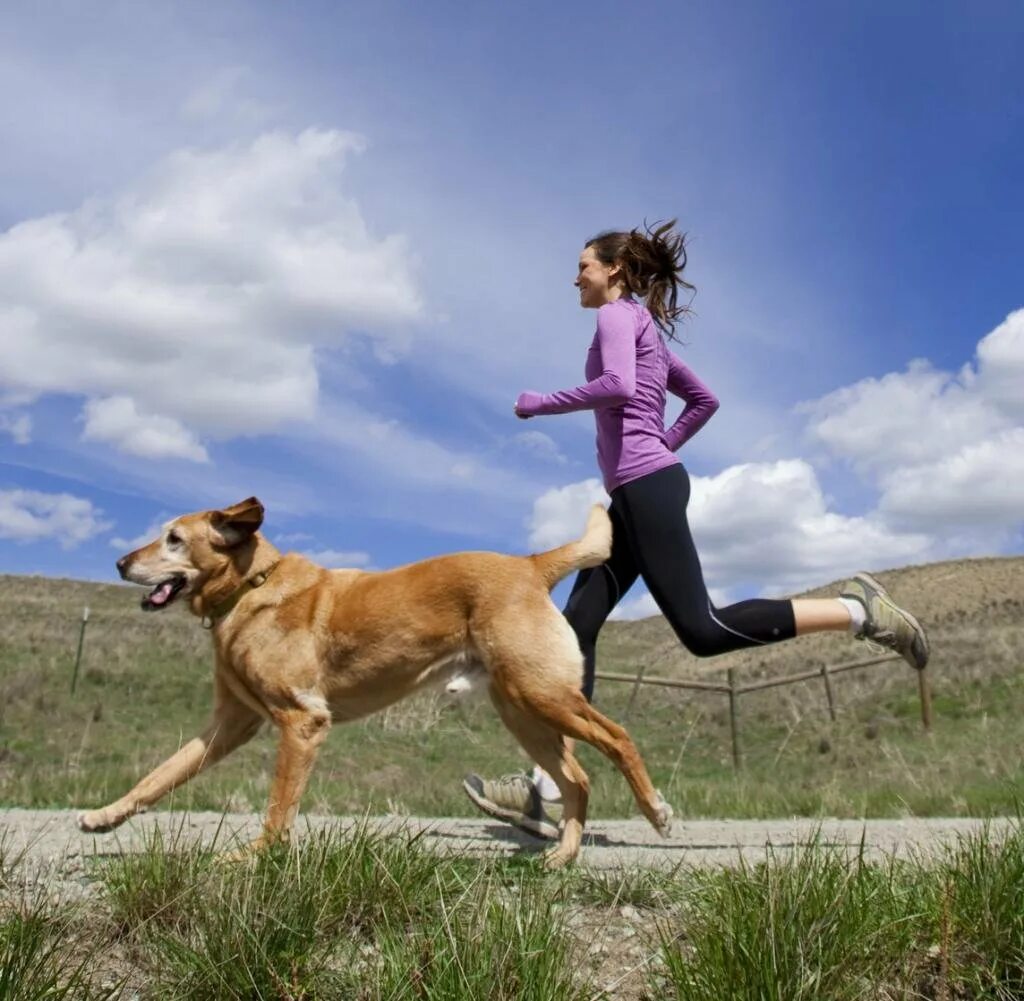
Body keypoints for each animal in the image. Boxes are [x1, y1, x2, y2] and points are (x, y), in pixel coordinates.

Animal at [79, 495, 671, 863]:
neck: (251, 587)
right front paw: (105, 817)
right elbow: (159, 777)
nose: (118, 563)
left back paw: (654, 811)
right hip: (523, 713)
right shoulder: (230, 724)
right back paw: (563, 856)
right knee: (577, 778)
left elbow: (278, 809)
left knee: (617, 738)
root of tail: (529, 564)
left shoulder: (302, 721)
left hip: (542, 696)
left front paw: (254, 860)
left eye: (174, 539)